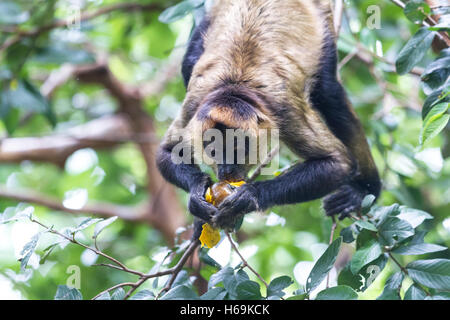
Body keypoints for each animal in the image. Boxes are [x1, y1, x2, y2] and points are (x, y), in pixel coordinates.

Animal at [156, 0, 382, 236]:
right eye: (214, 151)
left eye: (238, 150)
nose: (226, 170)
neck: (234, 86)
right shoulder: (195, 105)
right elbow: (166, 152)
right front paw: (196, 194)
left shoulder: (283, 109)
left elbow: (337, 163)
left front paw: (249, 196)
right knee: (188, 64)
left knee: (329, 92)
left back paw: (364, 189)